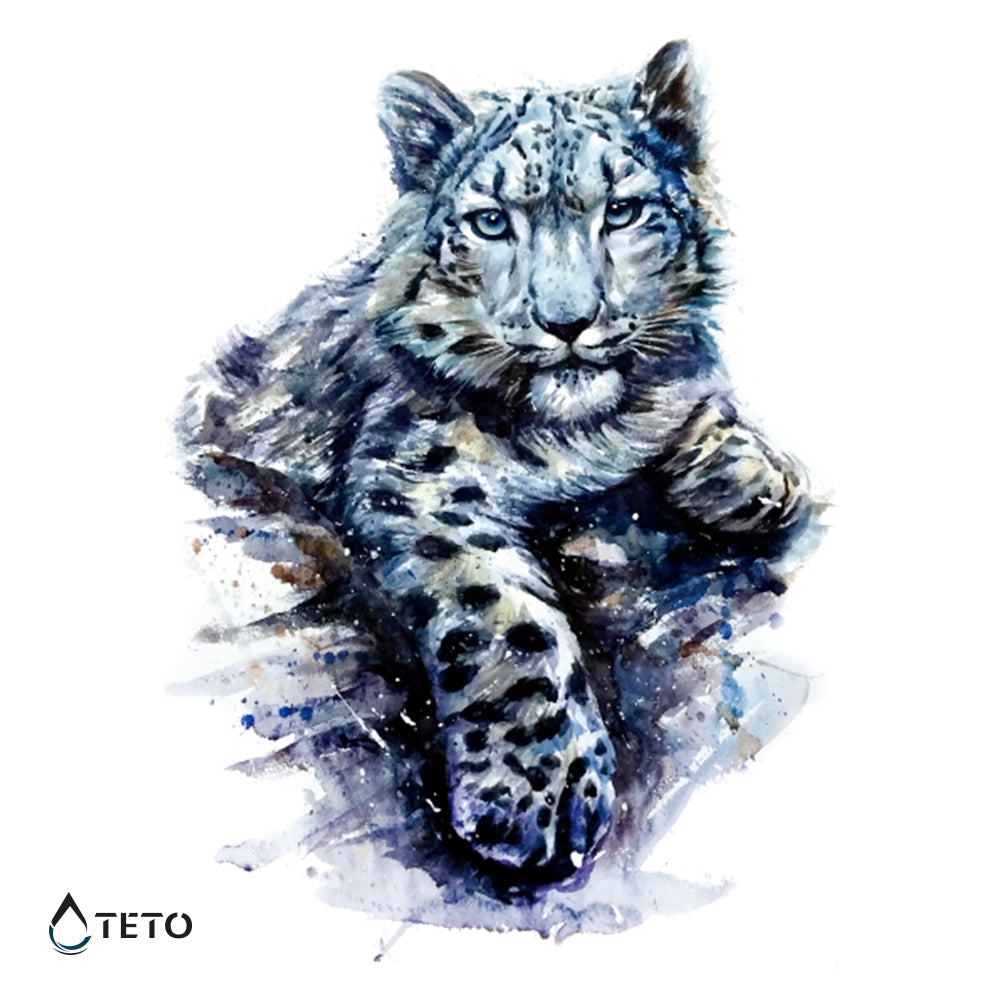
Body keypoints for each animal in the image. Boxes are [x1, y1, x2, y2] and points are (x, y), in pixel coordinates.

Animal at [181, 41, 812, 885]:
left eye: (622, 210)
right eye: (490, 222)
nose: (568, 322)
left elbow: (699, 402)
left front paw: (752, 473)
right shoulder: (420, 474)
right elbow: (507, 619)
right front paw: (538, 791)